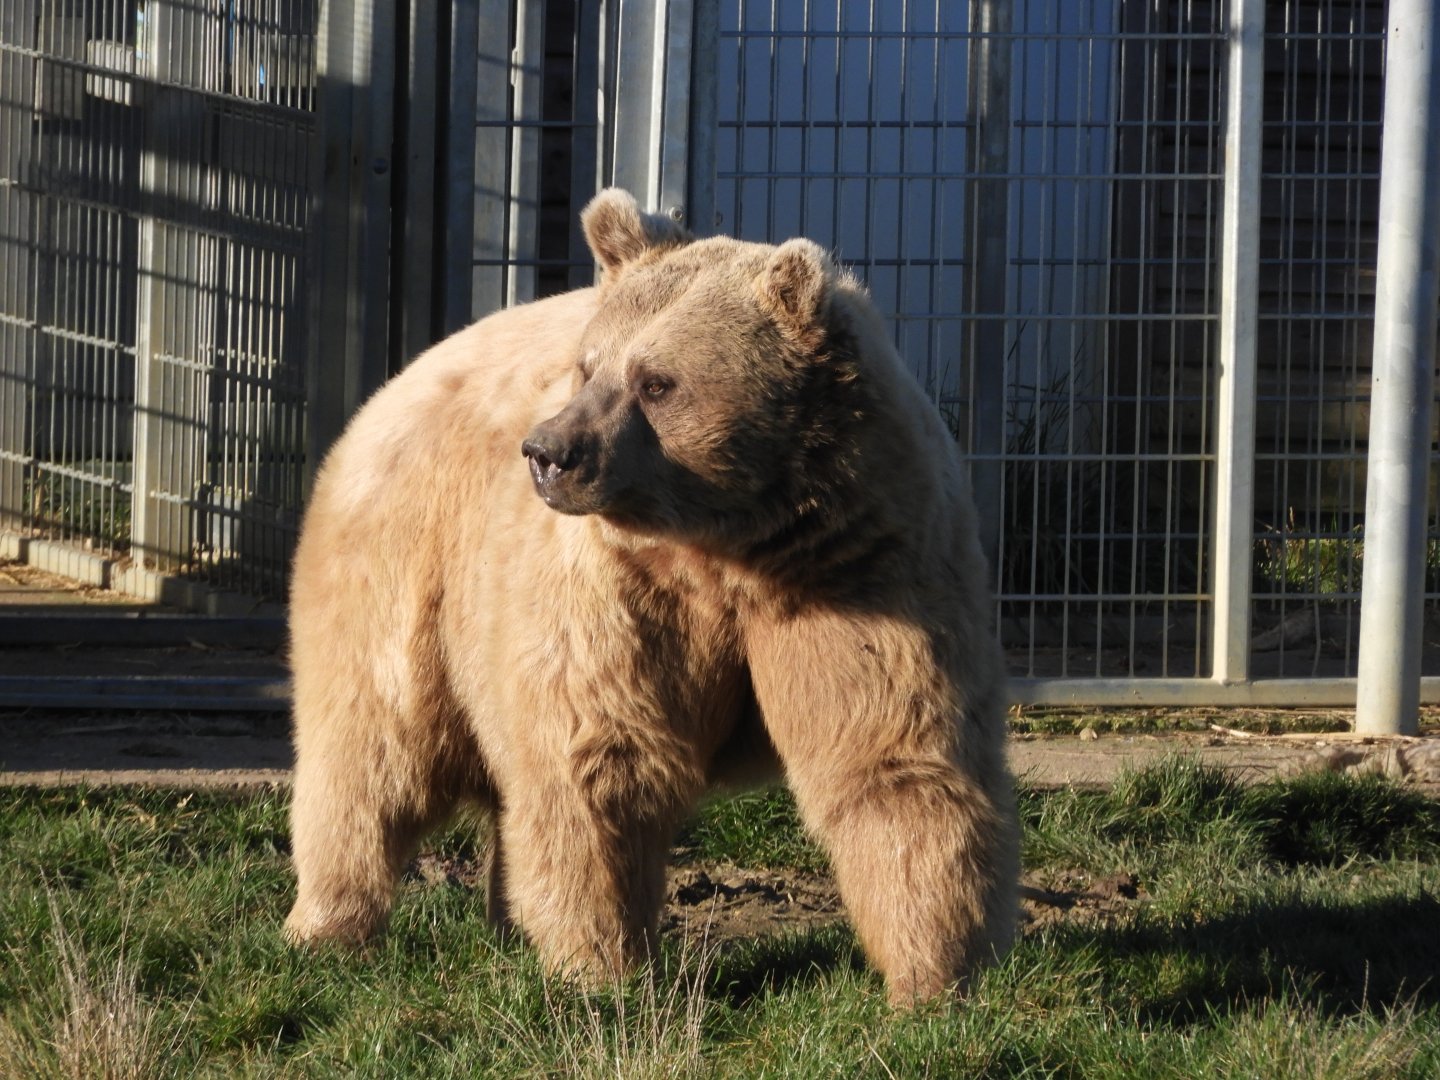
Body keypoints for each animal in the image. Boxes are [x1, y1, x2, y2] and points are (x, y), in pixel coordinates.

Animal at [284, 188, 1017, 1004]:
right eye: (588, 365)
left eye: (657, 381)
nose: (548, 452)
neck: (732, 543)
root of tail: (404, 376)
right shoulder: (617, 590)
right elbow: (600, 758)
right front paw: (600, 965)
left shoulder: (863, 566)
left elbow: (892, 751)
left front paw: (936, 977)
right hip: (407, 567)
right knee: (373, 748)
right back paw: (328, 925)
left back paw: (502, 921)